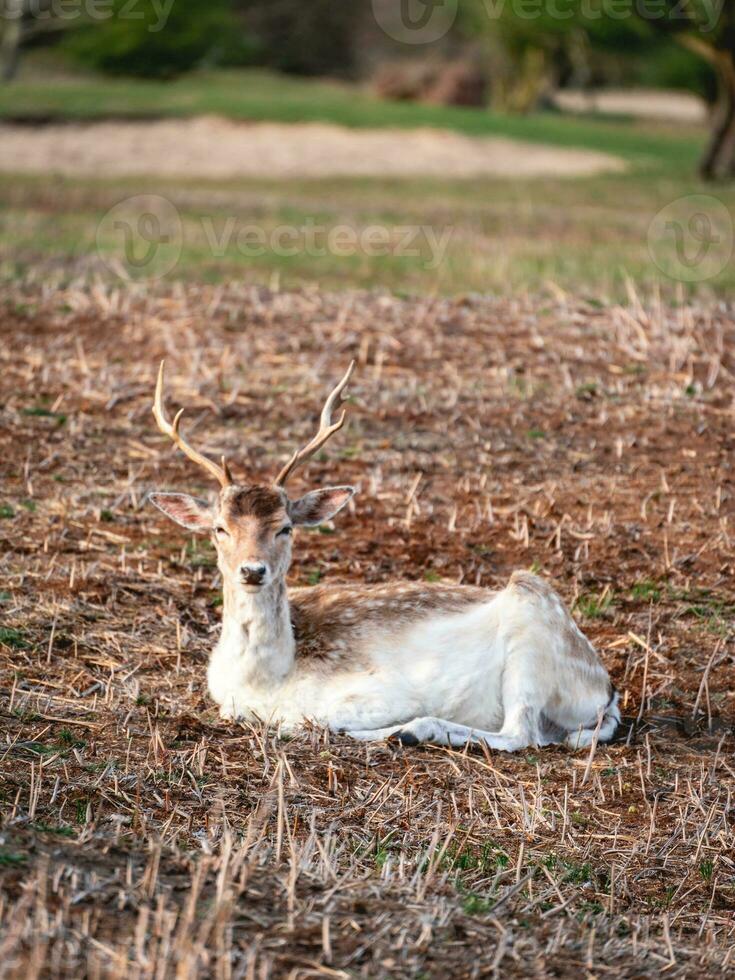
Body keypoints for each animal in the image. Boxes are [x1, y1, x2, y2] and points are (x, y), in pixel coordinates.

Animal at [150, 360, 620, 752]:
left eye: (285, 527)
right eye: (219, 528)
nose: (252, 570)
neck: (265, 679)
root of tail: (605, 691)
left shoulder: (380, 693)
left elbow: (301, 720)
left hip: (531, 628)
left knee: (522, 733)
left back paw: (408, 732)